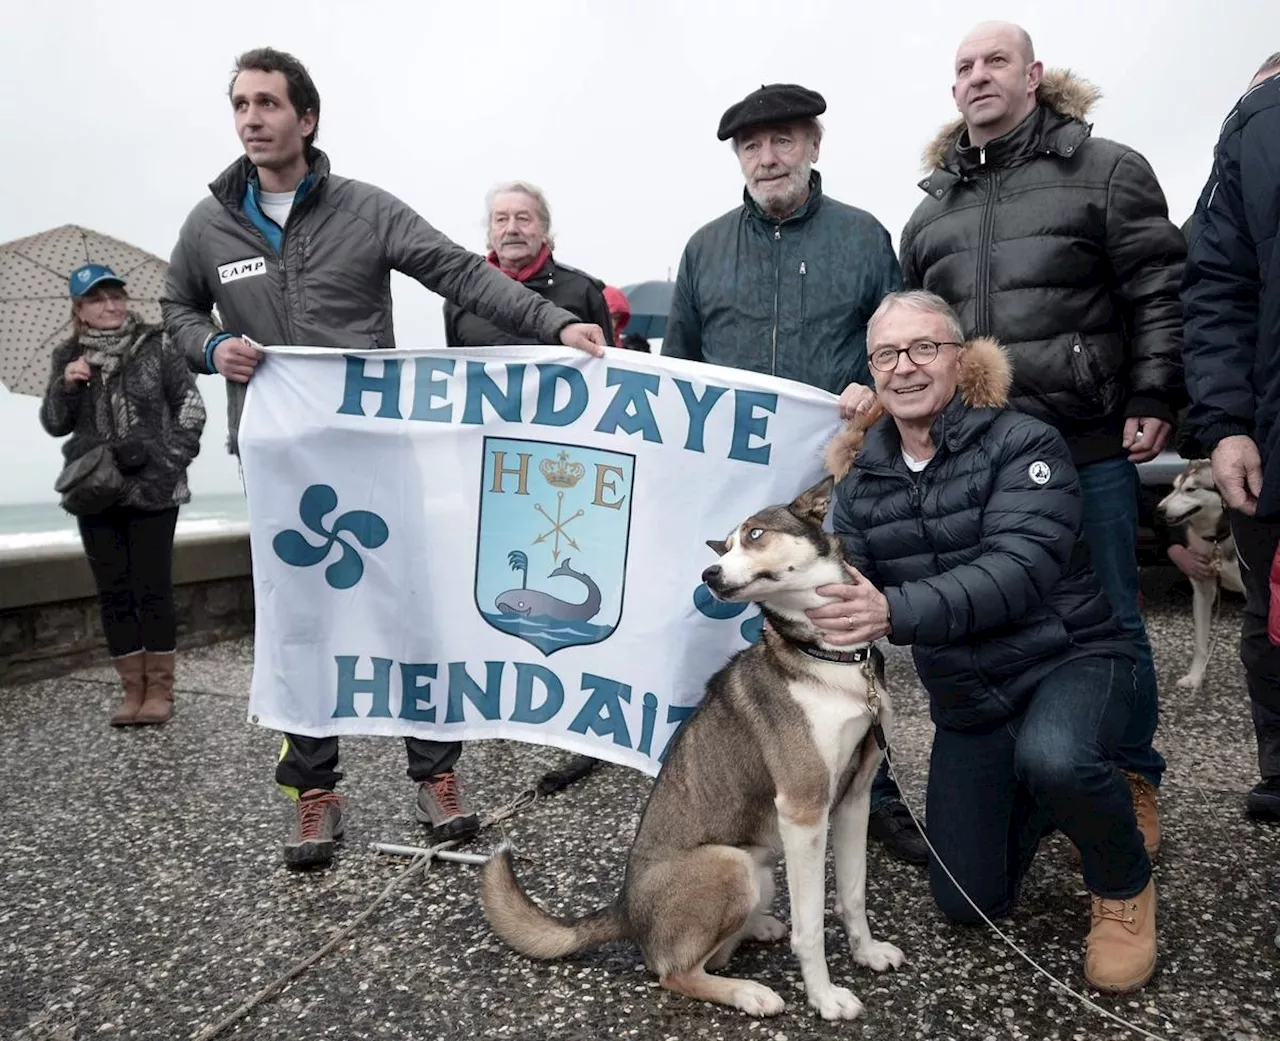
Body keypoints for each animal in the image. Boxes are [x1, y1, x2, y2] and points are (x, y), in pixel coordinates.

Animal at [481, 476, 911, 1019]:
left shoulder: (855, 797)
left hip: (761, 864)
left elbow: (852, 896)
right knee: (674, 971)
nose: (708, 573)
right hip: (731, 864)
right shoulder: (804, 809)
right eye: (723, 548)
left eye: (754, 534)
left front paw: (867, 953)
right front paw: (824, 997)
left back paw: (759, 926)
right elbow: (811, 926)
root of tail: (625, 910)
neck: (831, 658)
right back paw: (749, 992)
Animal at [1157, 460, 1244, 691]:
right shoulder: (1202, 591)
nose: (1159, 509)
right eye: (1174, 487)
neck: (1216, 541)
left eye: (1191, 489)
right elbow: (1200, 644)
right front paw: (1195, 677)